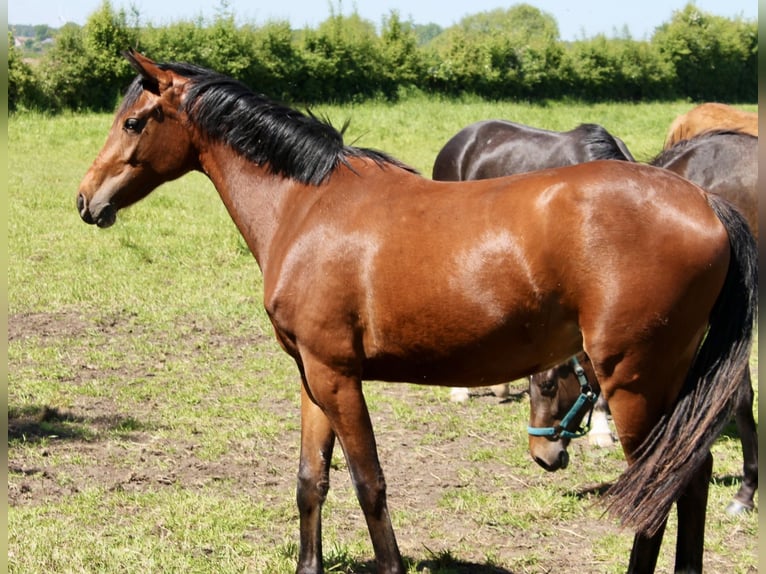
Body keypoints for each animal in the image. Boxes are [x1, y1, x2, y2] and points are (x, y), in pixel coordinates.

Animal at [75, 51, 760, 572]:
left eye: (133, 122)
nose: (85, 200)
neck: (306, 206)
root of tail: (706, 203)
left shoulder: (339, 378)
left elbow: (369, 483)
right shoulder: (312, 376)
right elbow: (311, 481)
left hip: (635, 382)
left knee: (662, 482)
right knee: (687, 475)